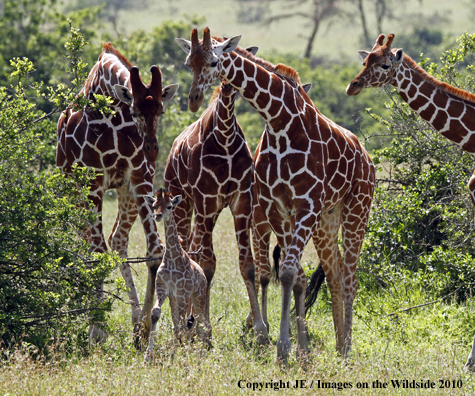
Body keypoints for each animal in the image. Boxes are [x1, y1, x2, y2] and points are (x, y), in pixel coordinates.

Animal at [56, 41, 179, 342]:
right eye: (134, 110)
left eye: (161, 110)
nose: (152, 149)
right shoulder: (93, 182)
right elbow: (98, 253)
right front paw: (98, 328)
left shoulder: (139, 177)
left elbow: (155, 250)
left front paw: (144, 327)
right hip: (73, 193)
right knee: (91, 245)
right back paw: (91, 321)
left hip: (124, 193)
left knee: (116, 240)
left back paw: (133, 319)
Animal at [145, 189, 212, 362]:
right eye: (154, 206)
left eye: (169, 206)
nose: (158, 216)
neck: (172, 258)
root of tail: (203, 274)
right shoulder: (164, 289)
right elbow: (155, 313)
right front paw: (148, 355)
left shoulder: (182, 293)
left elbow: (182, 326)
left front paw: (179, 355)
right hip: (175, 299)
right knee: (182, 325)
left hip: (197, 296)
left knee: (201, 324)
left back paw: (200, 353)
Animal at [164, 44, 270, 344]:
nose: (229, 87)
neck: (224, 139)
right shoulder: (206, 201)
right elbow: (208, 263)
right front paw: (203, 326)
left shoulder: (241, 201)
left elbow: (247, 264)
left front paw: (260, 328)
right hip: (184, 203)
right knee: (190, 249)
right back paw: (188, 321)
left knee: (192, 249)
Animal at [177, 27, 378, 360]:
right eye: (188, 63)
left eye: (214, 61)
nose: (193, 99)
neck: (279, 121)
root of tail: (368, 159)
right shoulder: (277, 207)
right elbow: (288, 274)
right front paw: (293, 346)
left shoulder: (305, 206)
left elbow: (286, 272)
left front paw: (284, 346)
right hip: (327, 219)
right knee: (334, 273)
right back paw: (338, 345)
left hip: (357, 209)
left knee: (351, 277)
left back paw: (347, 348)